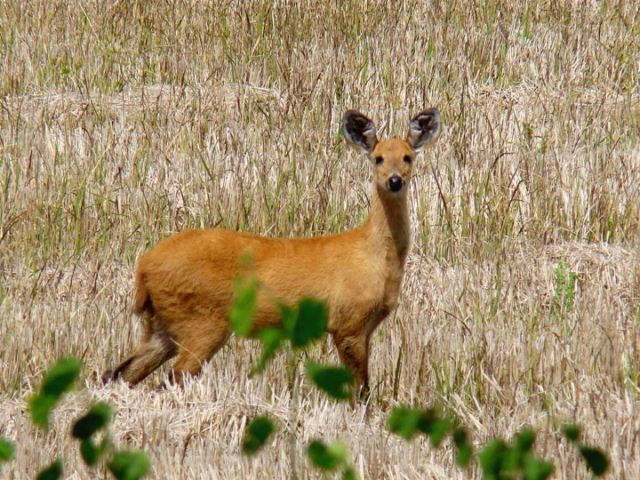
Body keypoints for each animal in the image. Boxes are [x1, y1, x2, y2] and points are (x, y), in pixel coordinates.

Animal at [104, 109, 440, 398]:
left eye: (408, 157)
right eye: (378, 158)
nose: (394, 180)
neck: (374, 257)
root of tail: (144, 267)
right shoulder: (348, 322)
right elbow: (360, 391)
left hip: (165, 323)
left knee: (119, 373)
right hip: (202, 320)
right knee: (172, 377)